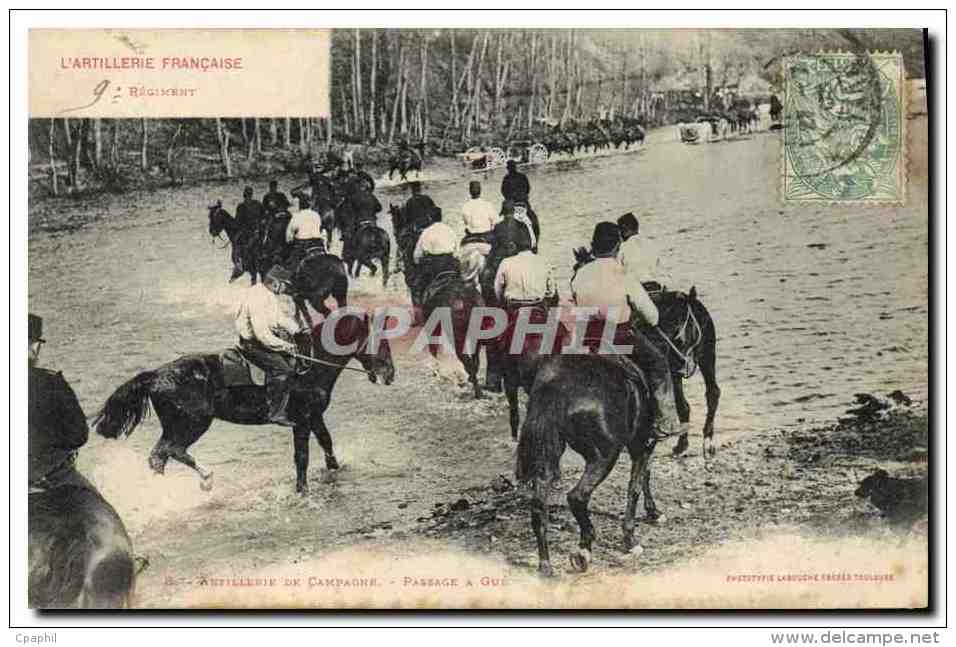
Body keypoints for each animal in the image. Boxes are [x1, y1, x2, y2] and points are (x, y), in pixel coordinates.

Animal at [95, 316, 394, 496]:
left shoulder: (315, 417)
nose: (390, 374)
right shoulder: (301, 422)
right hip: (192, 424)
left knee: (162, 456)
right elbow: (302, 457)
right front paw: (302, 489)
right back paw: (200, 480)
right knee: (168, 452)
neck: (310, 364)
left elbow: (327, 443)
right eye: (381, 341)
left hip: (178, 426)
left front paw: (335, 470)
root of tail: (156, 375)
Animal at [516, 354, 656, 576]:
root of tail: (556, 385)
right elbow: (635, 487)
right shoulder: (641, 446)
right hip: (604, 456)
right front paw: (631, 538)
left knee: (538, 506)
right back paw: (583, 551)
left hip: (548, 457)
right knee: (577, 497)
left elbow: (643, 478)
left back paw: (545, 565)